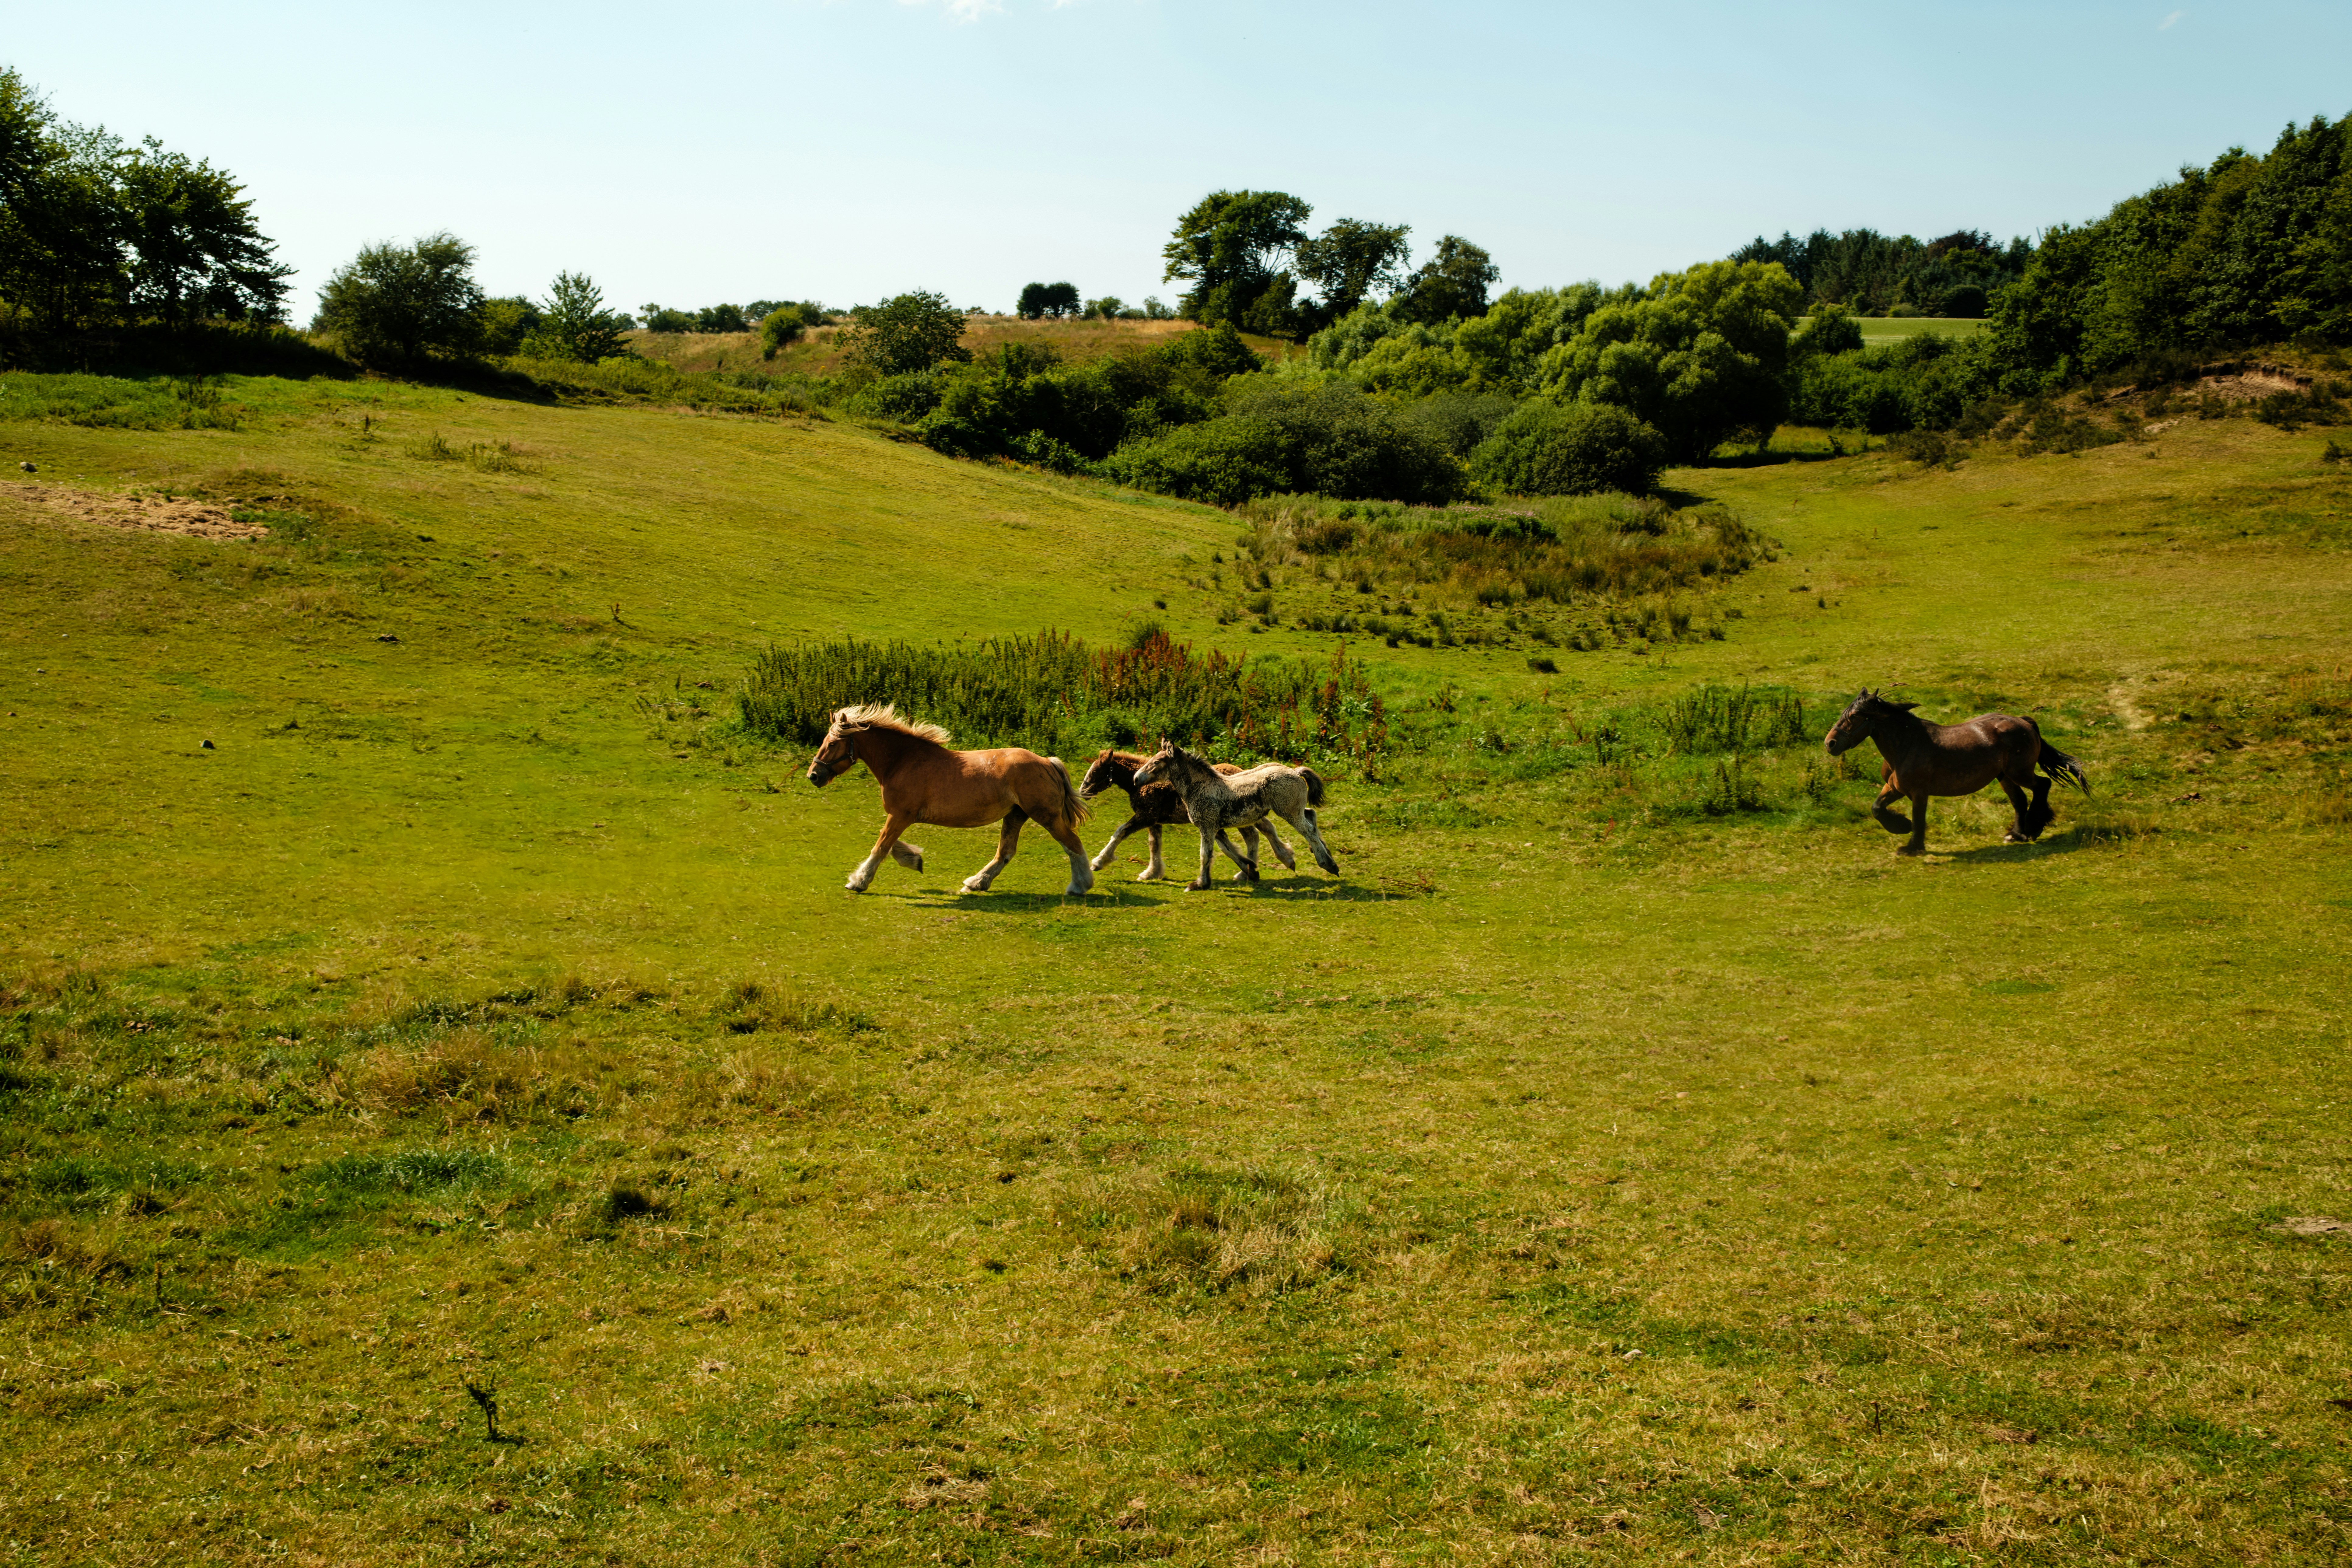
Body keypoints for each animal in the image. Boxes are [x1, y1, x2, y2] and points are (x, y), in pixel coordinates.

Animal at [805, 703, 1094, 895]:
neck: (901, 761)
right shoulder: (900, 816)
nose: (814, 776)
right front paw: (914, 860)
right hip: (1016, 815)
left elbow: (881, 846)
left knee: (1073, 844)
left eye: (832, 744)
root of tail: (1046, 761)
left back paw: (1080, 886)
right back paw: (976, 883)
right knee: (1005, 853)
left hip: (1045, 815)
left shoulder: (900, 815)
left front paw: (858, 881)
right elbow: (888, 843)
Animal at [1077, 749, 1296, 882]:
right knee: (1261, 832)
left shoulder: (1146, 817)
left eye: (1096, 772)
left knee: (1256, 834)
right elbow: (1154, 845)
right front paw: (1152, 873)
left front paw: (1099, 862)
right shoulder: (1155, 821)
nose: (1083, 792)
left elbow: (1120, 832)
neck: (1143, 785)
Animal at [1129, 742, 1341, 891]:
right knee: (1311, 815)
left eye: (1157, 762)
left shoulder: (1207, 827)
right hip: (1295, 810)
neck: (1201, 788)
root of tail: (1295, 771)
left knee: (1309, 832)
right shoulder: (1216, 828)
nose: (1136, 779)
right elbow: (1228, 851)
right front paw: (1251, 872)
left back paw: (1329, 865)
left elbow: (1206, 854)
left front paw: (1199, 884)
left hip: (1289, 812)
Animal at [1823, 689, 2088, 856]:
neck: (1906, 745)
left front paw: (1912, 848)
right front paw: (1902, 827)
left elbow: (1919, 818)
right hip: (2004, 776)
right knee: (2020, 800)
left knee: (2042, 786)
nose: (1830, 744)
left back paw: (2033, 829)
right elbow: (1877, 809)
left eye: (1854, 716)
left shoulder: (1919, 793)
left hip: (2019, 772)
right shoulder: (1895, 788)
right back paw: (2016, 835)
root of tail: (2024, 722)